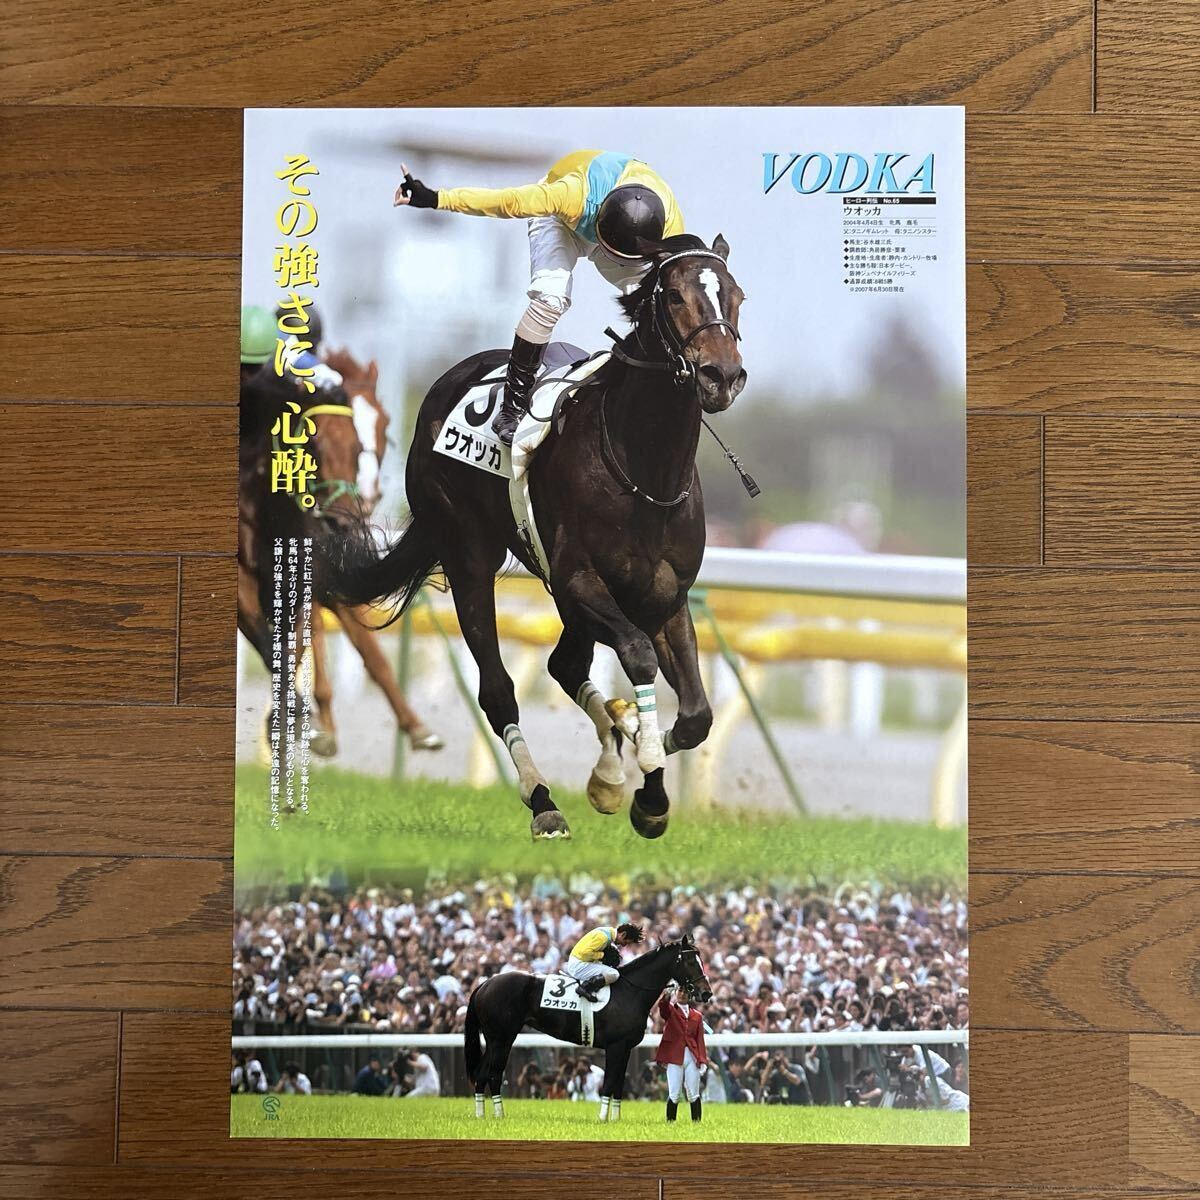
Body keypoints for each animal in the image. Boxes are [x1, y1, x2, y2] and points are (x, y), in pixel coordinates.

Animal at [321, 232, 746, 841]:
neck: (646, 472)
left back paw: (609, 760)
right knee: (499, 689)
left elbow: (695, 717)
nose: (722, 376)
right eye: (674, 297)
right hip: (469, 553)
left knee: (564, 667)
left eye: (736, 296)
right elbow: (638, 657)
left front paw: (635, 769)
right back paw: (545, 800)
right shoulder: (579, 580)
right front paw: (645, 782)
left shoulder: (665, 596)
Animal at [464, 934, 713, 1121]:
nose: (706, 993)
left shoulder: (625, 1048)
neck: (630, 991)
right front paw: (603, 1118)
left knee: (482, 1074)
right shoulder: (615, 1046)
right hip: (503, 1038)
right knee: (494, 1074)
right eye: (691, 962)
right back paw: (499, 1115)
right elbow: (610, 1081)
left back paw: (480, 1114)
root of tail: (485, 984)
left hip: (495, 1040)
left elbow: (619, 1083)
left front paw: (616, 1118)